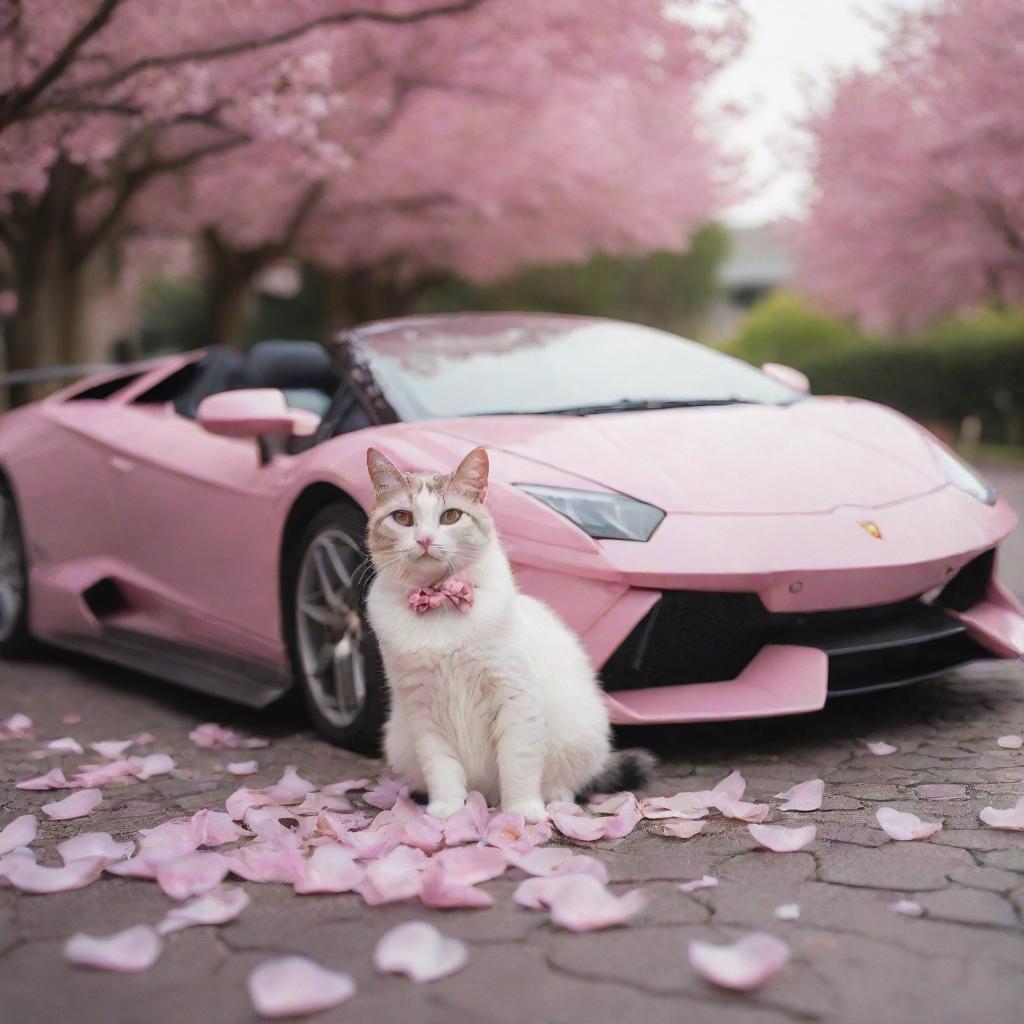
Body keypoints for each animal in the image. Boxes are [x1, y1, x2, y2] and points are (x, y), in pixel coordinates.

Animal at [364, 444, 651, 819]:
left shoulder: (515, 698)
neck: (439, 601)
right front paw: (448, 812)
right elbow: (442, 769)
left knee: (568, 783)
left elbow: (518, 765)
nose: (424, 539)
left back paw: (552, 801)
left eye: (450, 516)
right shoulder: (422, 710)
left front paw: (521, 813)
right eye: (402, 518)